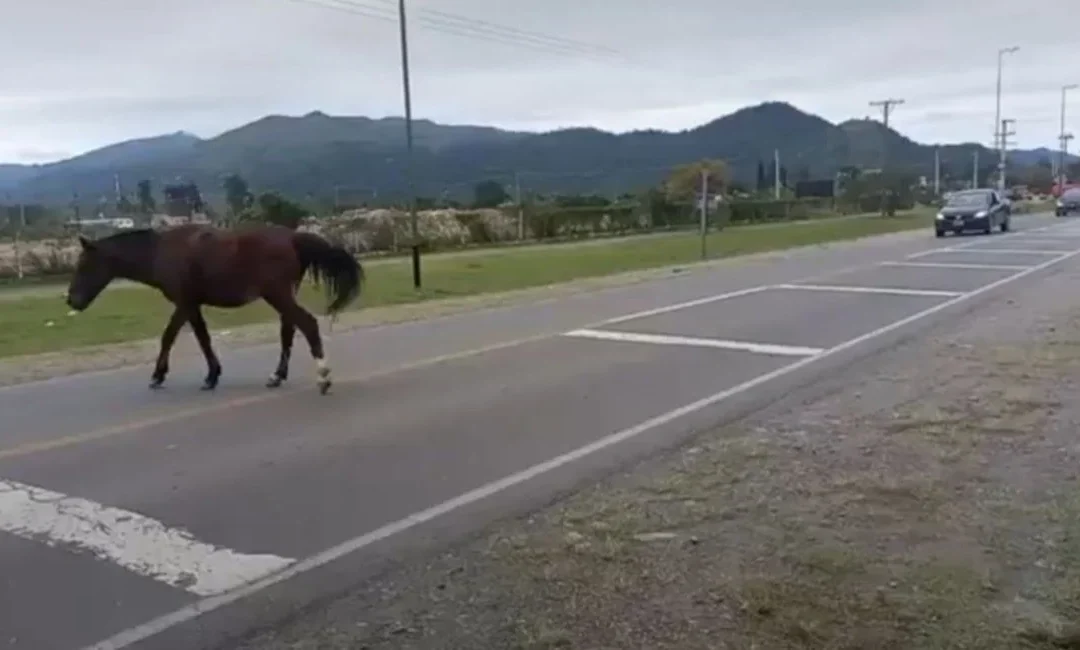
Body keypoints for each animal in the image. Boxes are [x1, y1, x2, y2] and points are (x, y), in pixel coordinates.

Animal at [64, 223, 364, 395]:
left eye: (84, 265)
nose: (71, 300)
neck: (161, 251)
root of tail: (293, 238)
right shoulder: (193, 304)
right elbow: (202, 338)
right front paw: (212, 375)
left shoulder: (184, 303)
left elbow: (171, 336)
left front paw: (159, 376)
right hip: (284, 295)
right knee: (288, 331)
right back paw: (276, 376)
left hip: (278, 295)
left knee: (307, 324)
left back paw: (323, 377)